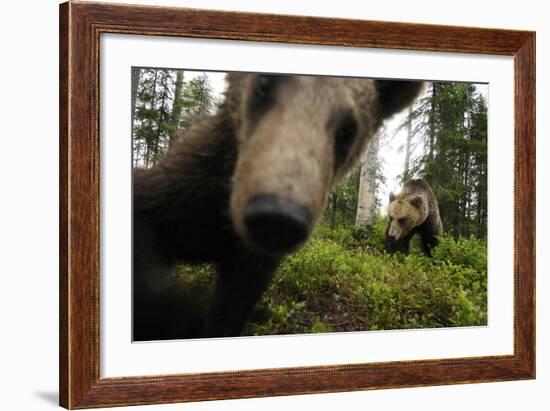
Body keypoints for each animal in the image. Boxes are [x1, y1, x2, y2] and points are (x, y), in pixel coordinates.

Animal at [135, 71, 426, 342]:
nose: (277, 217)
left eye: (348, 130)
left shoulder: (252, 264)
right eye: (264, 82)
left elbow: (232, 309)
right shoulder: (185, 192)